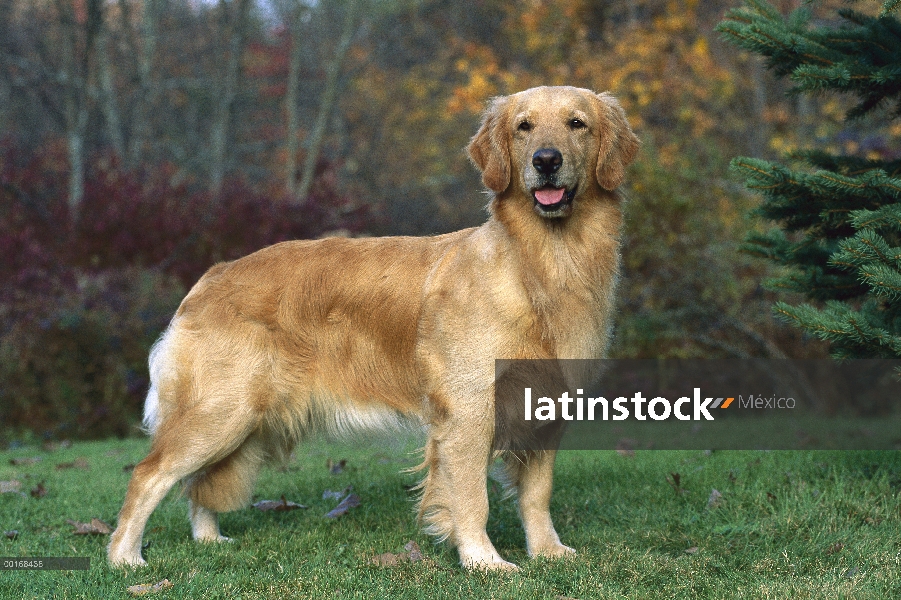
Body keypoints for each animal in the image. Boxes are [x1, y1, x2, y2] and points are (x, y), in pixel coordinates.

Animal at [107, 83, 640, 568]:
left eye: (577, 124)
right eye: (523, 127)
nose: (546, 160)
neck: (541, 263)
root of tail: (209, 277)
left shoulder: (546, 407)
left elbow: (536, 494)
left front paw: (547, 552)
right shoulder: (468, 410)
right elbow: (472, 498)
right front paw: (484, 562)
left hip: (244, 424)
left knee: (199, 486)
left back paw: (209, 541)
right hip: (221, 412)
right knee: (148, 475)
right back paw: (125, 559)